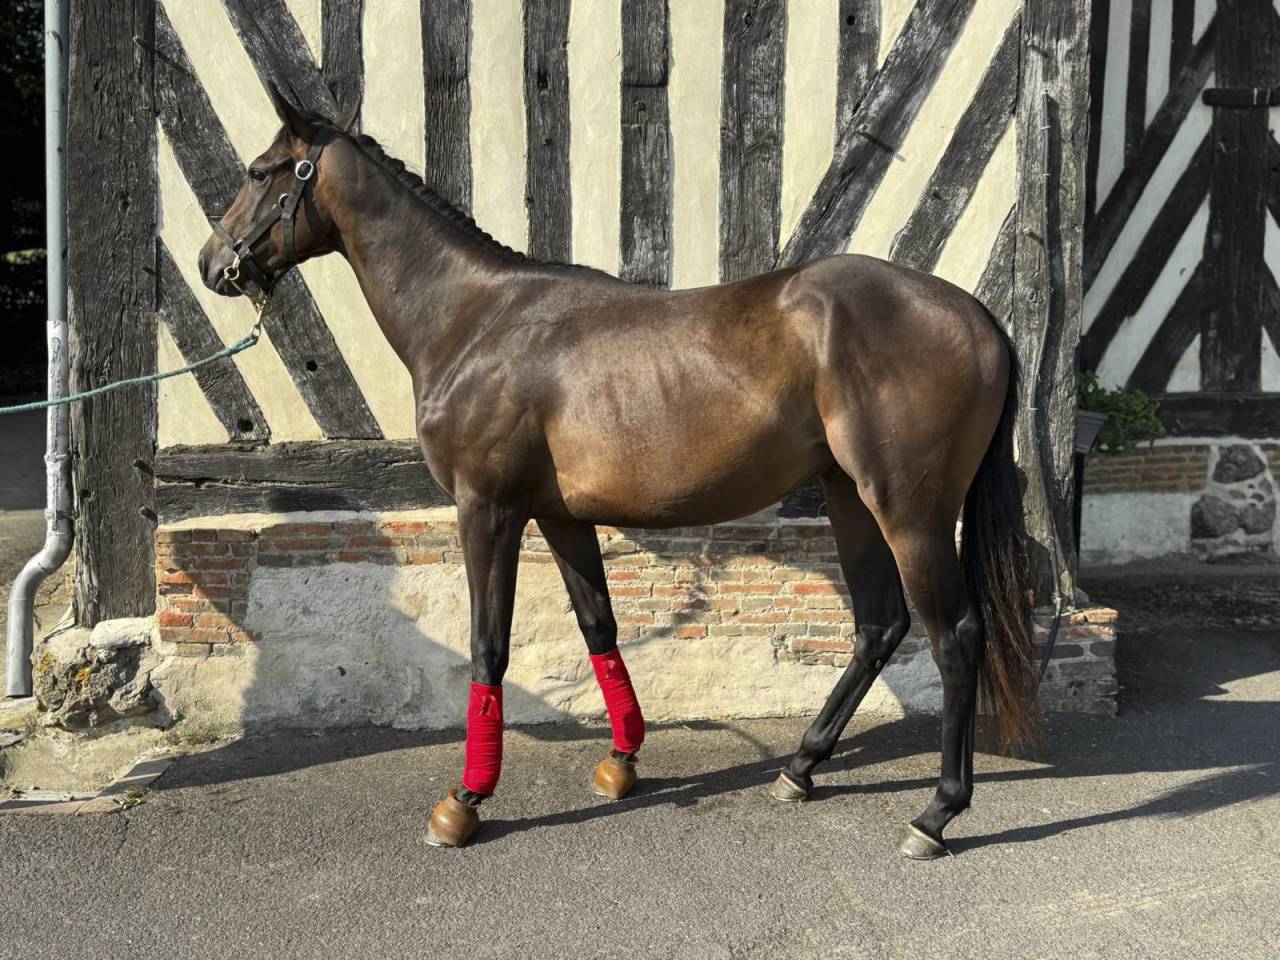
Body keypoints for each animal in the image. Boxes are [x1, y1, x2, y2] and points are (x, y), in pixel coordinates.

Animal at [198, 85, 1037, 860]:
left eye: (259, 170)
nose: (213, 263)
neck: (476, 320)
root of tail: (979, 316)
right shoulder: (561, 515)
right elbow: (598, 625)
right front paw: (622, 761)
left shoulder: (488, 509)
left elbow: (488, 645)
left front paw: (465, 801)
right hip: (850, 499)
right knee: (878, 625)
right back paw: (800, 767)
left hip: (909, 512)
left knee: (955, 636)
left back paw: (936, 813)